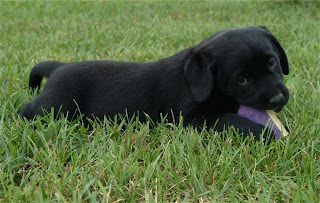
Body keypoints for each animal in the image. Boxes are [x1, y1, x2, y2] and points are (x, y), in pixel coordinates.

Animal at [20, 25, 290, 142]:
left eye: (272, 63)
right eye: (241, 79)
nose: (278, 99)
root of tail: (58, 67)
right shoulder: (191, 119)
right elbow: (228, 119)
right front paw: (263, 132)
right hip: (56, 107)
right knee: (29, 109)